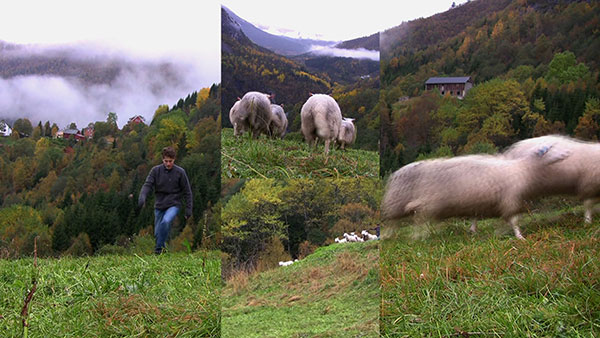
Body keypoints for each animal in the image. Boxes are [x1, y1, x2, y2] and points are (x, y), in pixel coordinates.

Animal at [382, 146, 568, 240]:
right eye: (551, 153)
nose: (567, 154)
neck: (523, 171)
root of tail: (395, 174)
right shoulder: (509, 201)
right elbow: (513, 221)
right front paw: (518, 236)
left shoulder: (488, 202)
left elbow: (481, 218)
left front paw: (476, 231)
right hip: (410, 204)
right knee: (405, 221)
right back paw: (409, 236)